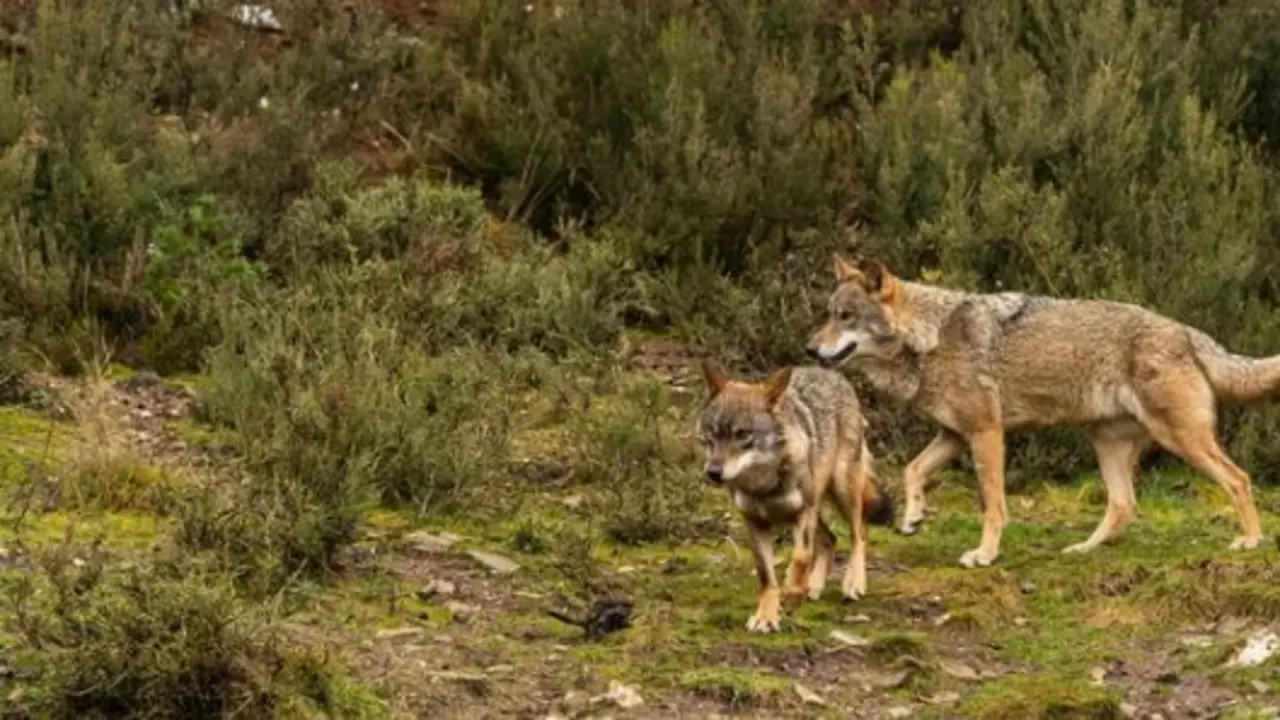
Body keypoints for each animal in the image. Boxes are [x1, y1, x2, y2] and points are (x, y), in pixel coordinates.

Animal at [696, 362, 894, 632]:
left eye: (742, 434)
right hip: (820, 506)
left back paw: (854, 583)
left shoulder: (803, 513)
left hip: (842, 490)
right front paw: (766, 616)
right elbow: (766, 576)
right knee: (830, 539)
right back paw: (815, 586)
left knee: (859, 532)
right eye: (712, 433)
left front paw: (790, 595)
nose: (713, 472)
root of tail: (830, 372)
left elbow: (801, 558)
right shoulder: (755, 523)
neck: (764, 486)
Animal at [806, 254, 1278, 568]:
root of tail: (1187, 331)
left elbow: (993, 504)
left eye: (845, 316)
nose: (809, 349)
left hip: (1182, 440)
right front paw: (913, 517)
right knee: (1124, 505)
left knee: (1239, 479)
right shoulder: (954, 435)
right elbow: (912, 470)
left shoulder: (986, 433)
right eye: (828, 314)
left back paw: (1251, 540)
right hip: (1106, 444)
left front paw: (985, 554)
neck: (930, 338)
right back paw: (1082, 549)